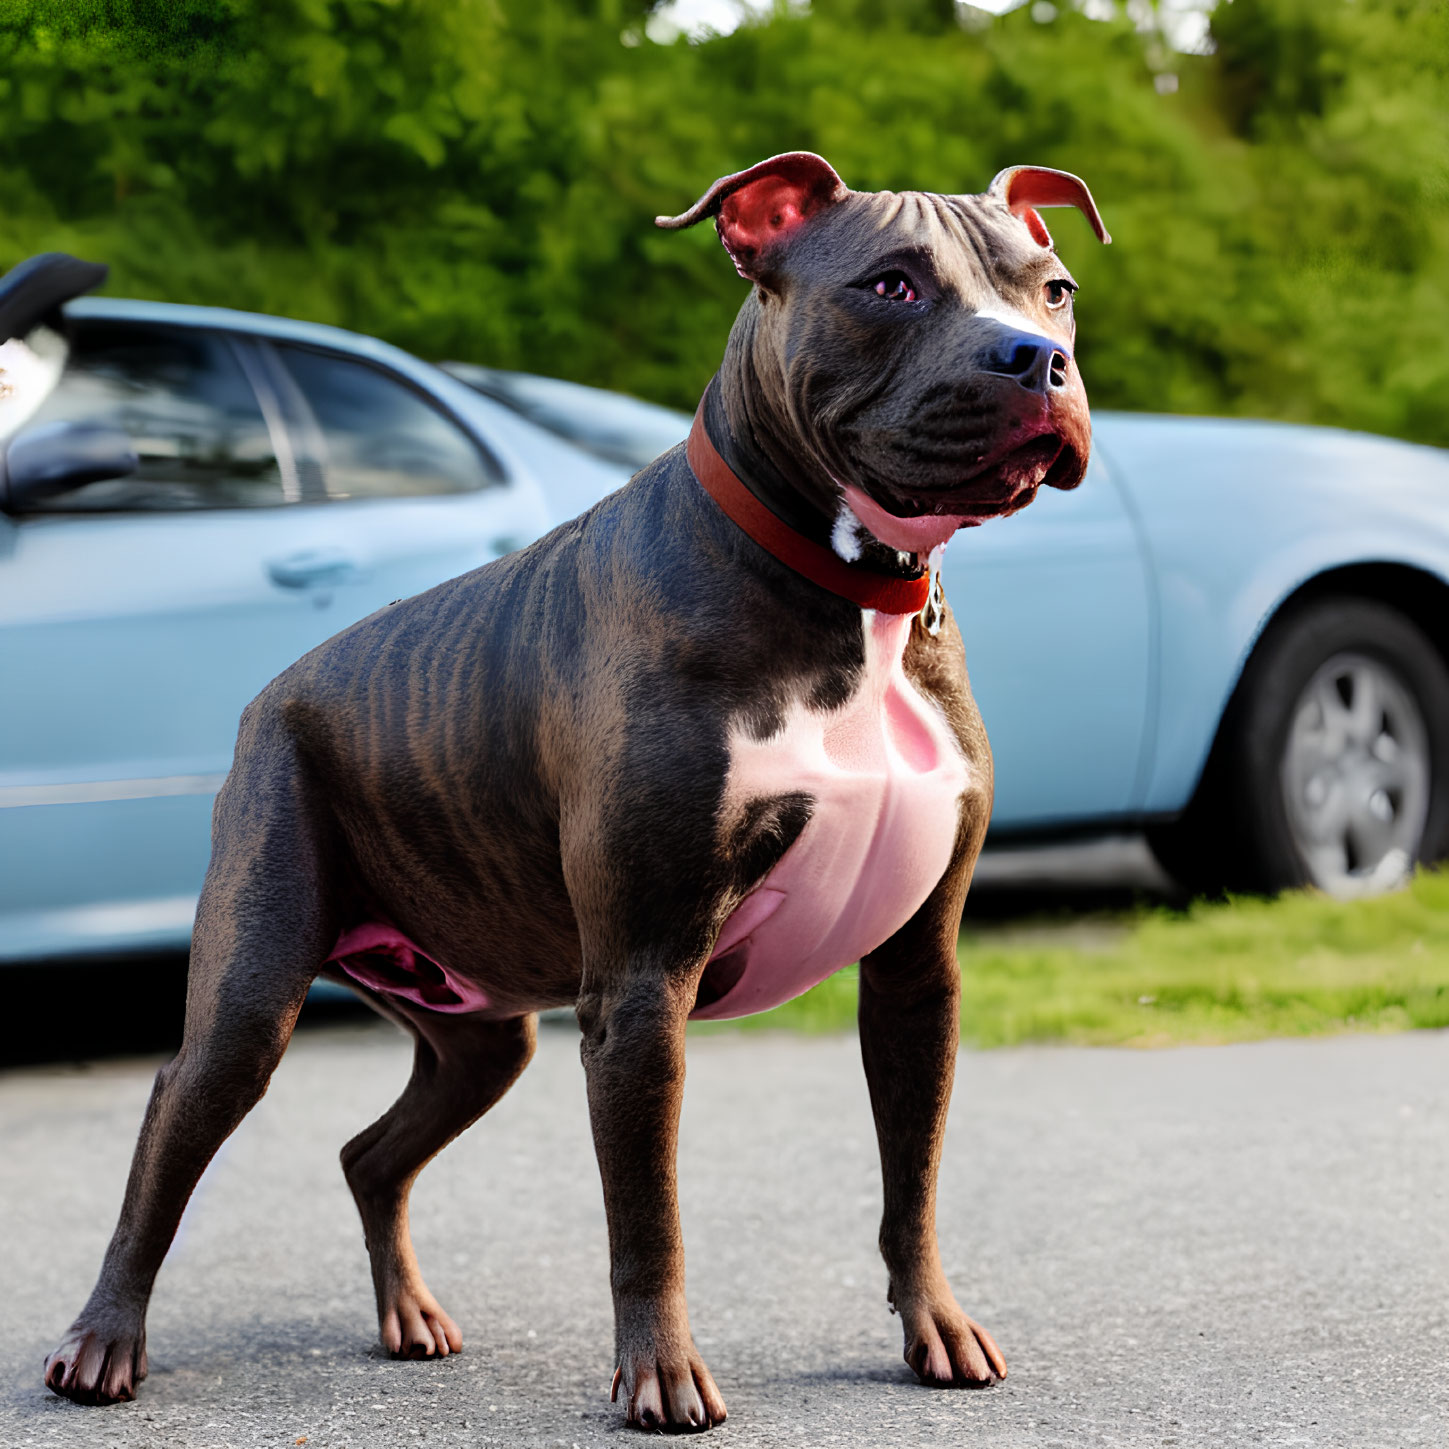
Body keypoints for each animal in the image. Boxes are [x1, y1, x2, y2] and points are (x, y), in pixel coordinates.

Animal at [42, 152, 1107, 1431]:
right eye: (892, 286)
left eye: (1053, 290)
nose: (1036, 358)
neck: (851, 595)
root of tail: (275, 692)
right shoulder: (643, 988)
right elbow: (649, 1217)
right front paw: (662, 1376)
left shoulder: (916, 975)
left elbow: (917, 1179)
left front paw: (935, 1327)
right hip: (251, 994)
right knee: (171, 1128)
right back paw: (104, 1342)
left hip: (481, 1039)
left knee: (369, 1154)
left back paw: (408, 1315)